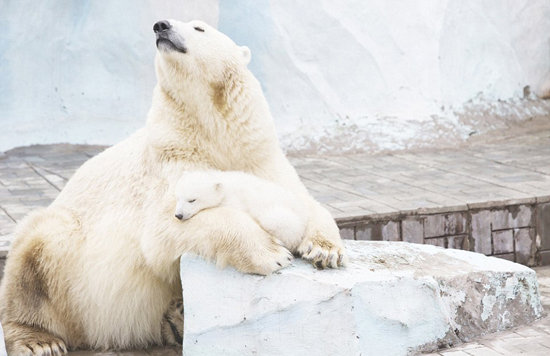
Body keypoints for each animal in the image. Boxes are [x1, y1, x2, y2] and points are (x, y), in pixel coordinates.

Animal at [0, 20, 348, 356]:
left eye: (199, 28)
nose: (161, 25)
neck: (214, 134)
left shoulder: (259, 156)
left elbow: (302, 201)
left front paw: (325, 250)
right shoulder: (171, 162)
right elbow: (164, 228)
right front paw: (272, 253)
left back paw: (177, 317)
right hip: (70, 260)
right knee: (36, 252)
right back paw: (38, 340)